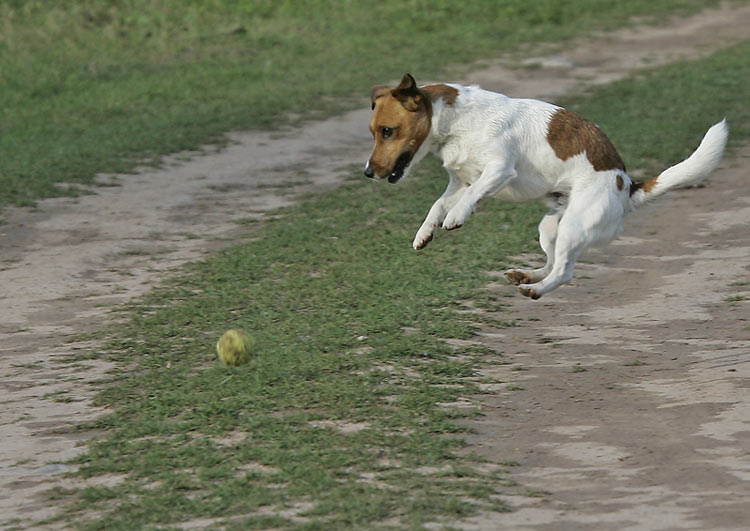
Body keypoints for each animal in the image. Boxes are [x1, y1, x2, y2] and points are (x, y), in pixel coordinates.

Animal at [364, 74, 728, 300]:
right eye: (374, 131)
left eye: (387, 131)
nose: (367, 172)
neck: (455, 124)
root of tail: (626, 186)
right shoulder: (459, 180)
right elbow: (437, 205)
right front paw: (424, 232)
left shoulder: (498, 170)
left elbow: (468, 197)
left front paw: (457, 217)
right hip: (550, 225)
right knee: (552, 264)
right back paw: (527, 276)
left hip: (572, 228)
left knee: (564, 272)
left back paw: (536, 291)